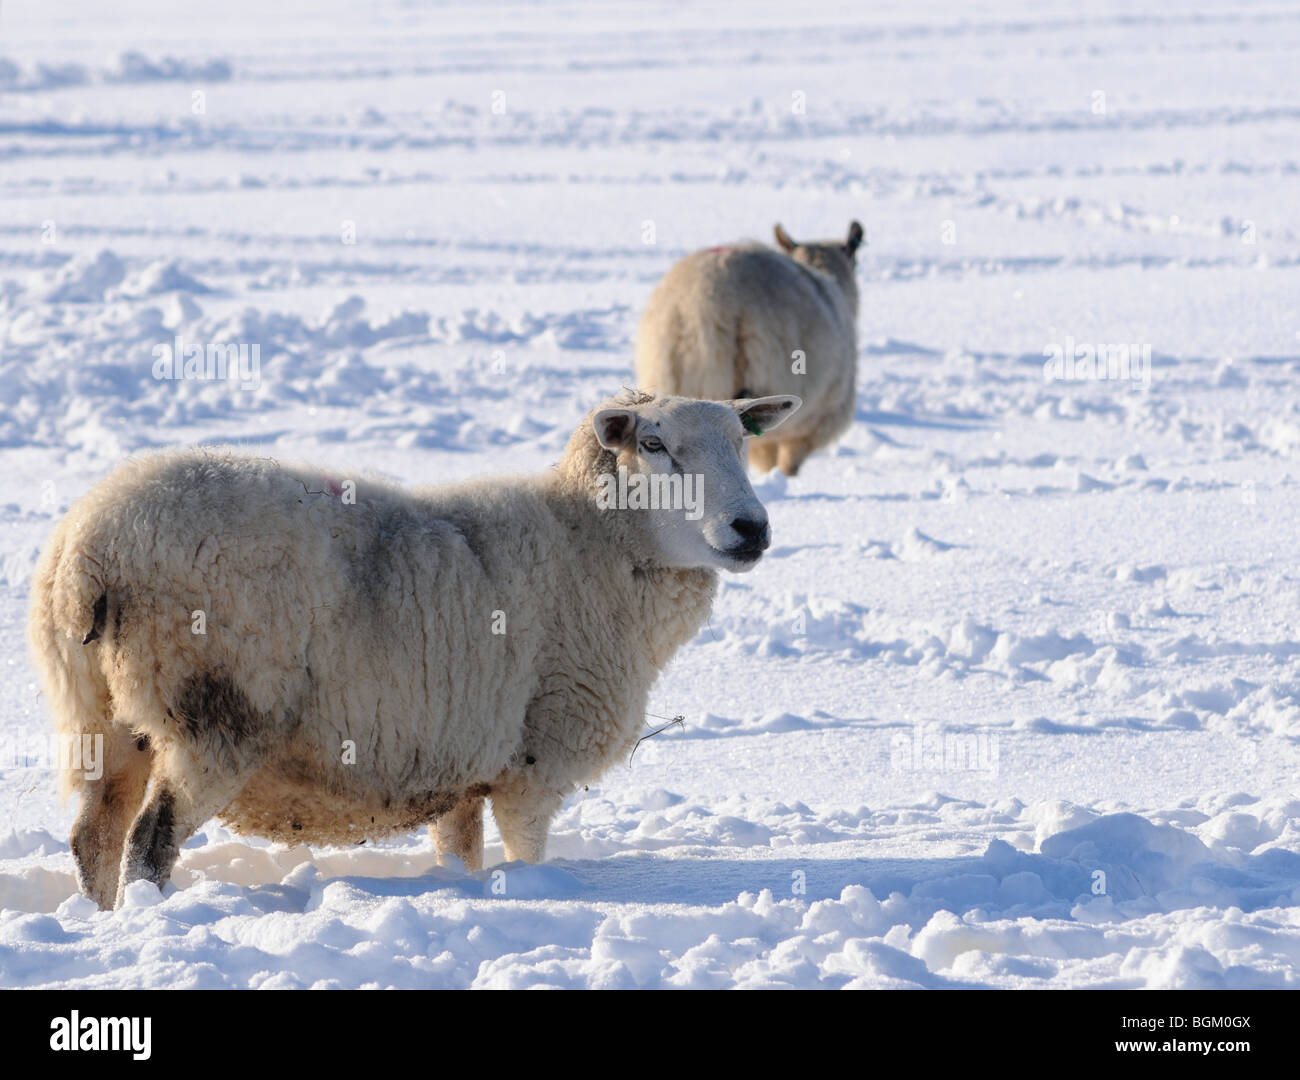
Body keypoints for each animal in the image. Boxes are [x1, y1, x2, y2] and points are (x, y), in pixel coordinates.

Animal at [27, 392, 800, 909]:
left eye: (742, 441)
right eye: (656, 446)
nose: (751, 528)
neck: (589, 540)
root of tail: (87, 551)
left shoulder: (465, 757)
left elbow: (461, 852)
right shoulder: (535, 759)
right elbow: (525, 851)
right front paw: (537, 891)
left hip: (99, 713)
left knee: (95, 836)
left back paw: (103, 920)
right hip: (216, 712)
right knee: (150, 842)